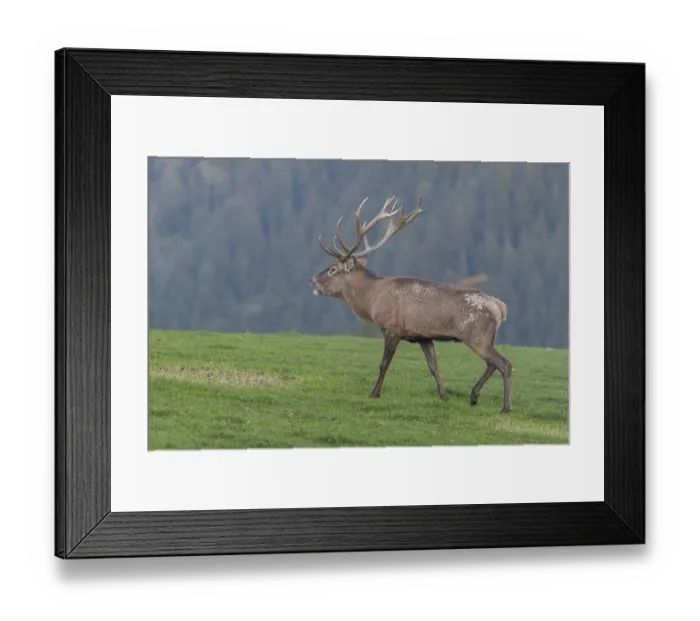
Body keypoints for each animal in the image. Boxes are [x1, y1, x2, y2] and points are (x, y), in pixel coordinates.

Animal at [308, 196, 513, 413]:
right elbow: (433, 366)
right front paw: (444, 395)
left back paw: (505, 406)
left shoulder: (392, 329)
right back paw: (474, 396)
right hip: (484, 339)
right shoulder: (423, 336)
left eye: (332, 269)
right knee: (492, 364)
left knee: (504, 364)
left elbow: (384, 364)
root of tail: (500, 307)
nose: (312, 279)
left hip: (478, 336)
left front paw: (374, 393)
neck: (372, 300)